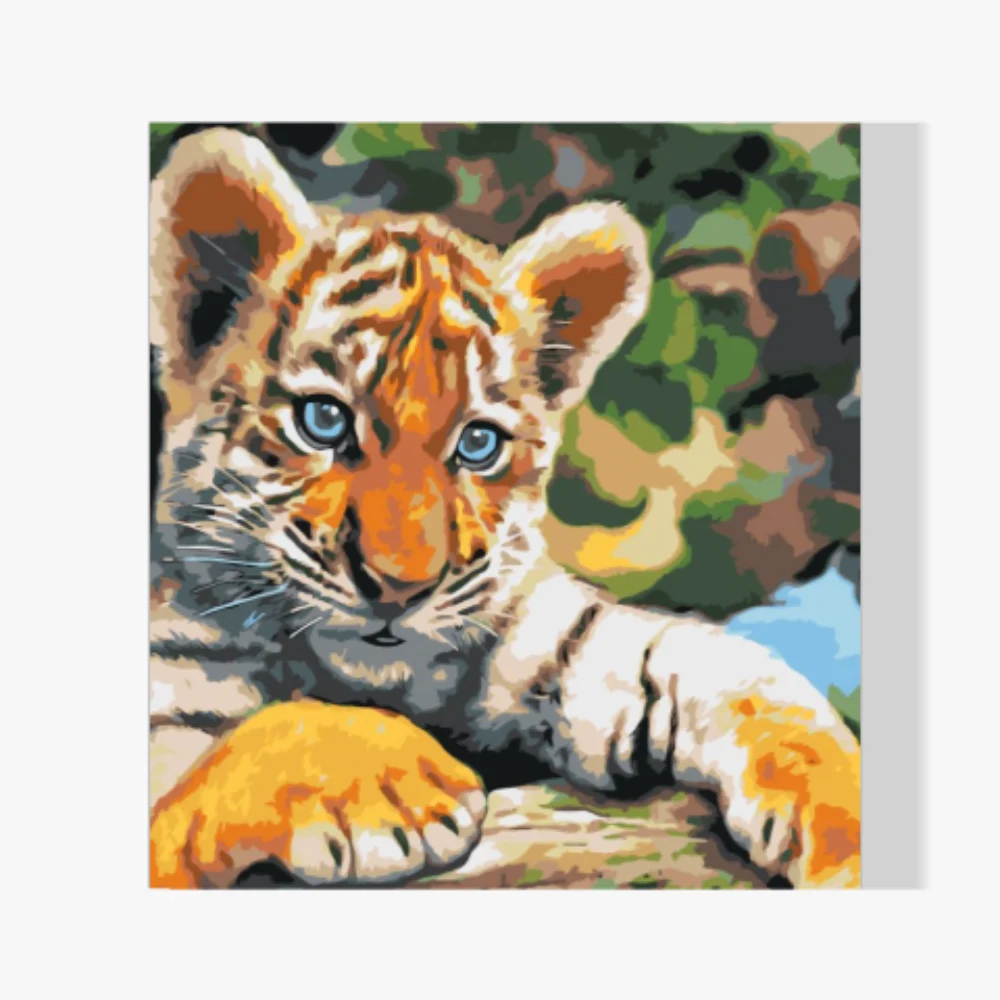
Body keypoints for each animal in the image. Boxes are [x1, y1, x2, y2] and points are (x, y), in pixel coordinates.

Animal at [149, 127, 861, 890]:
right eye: (323, 420)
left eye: (478, 443)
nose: (400, 589)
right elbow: (233, 747)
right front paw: (398, 786)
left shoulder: (559, 637)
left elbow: (732, 670)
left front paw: (847, 824)